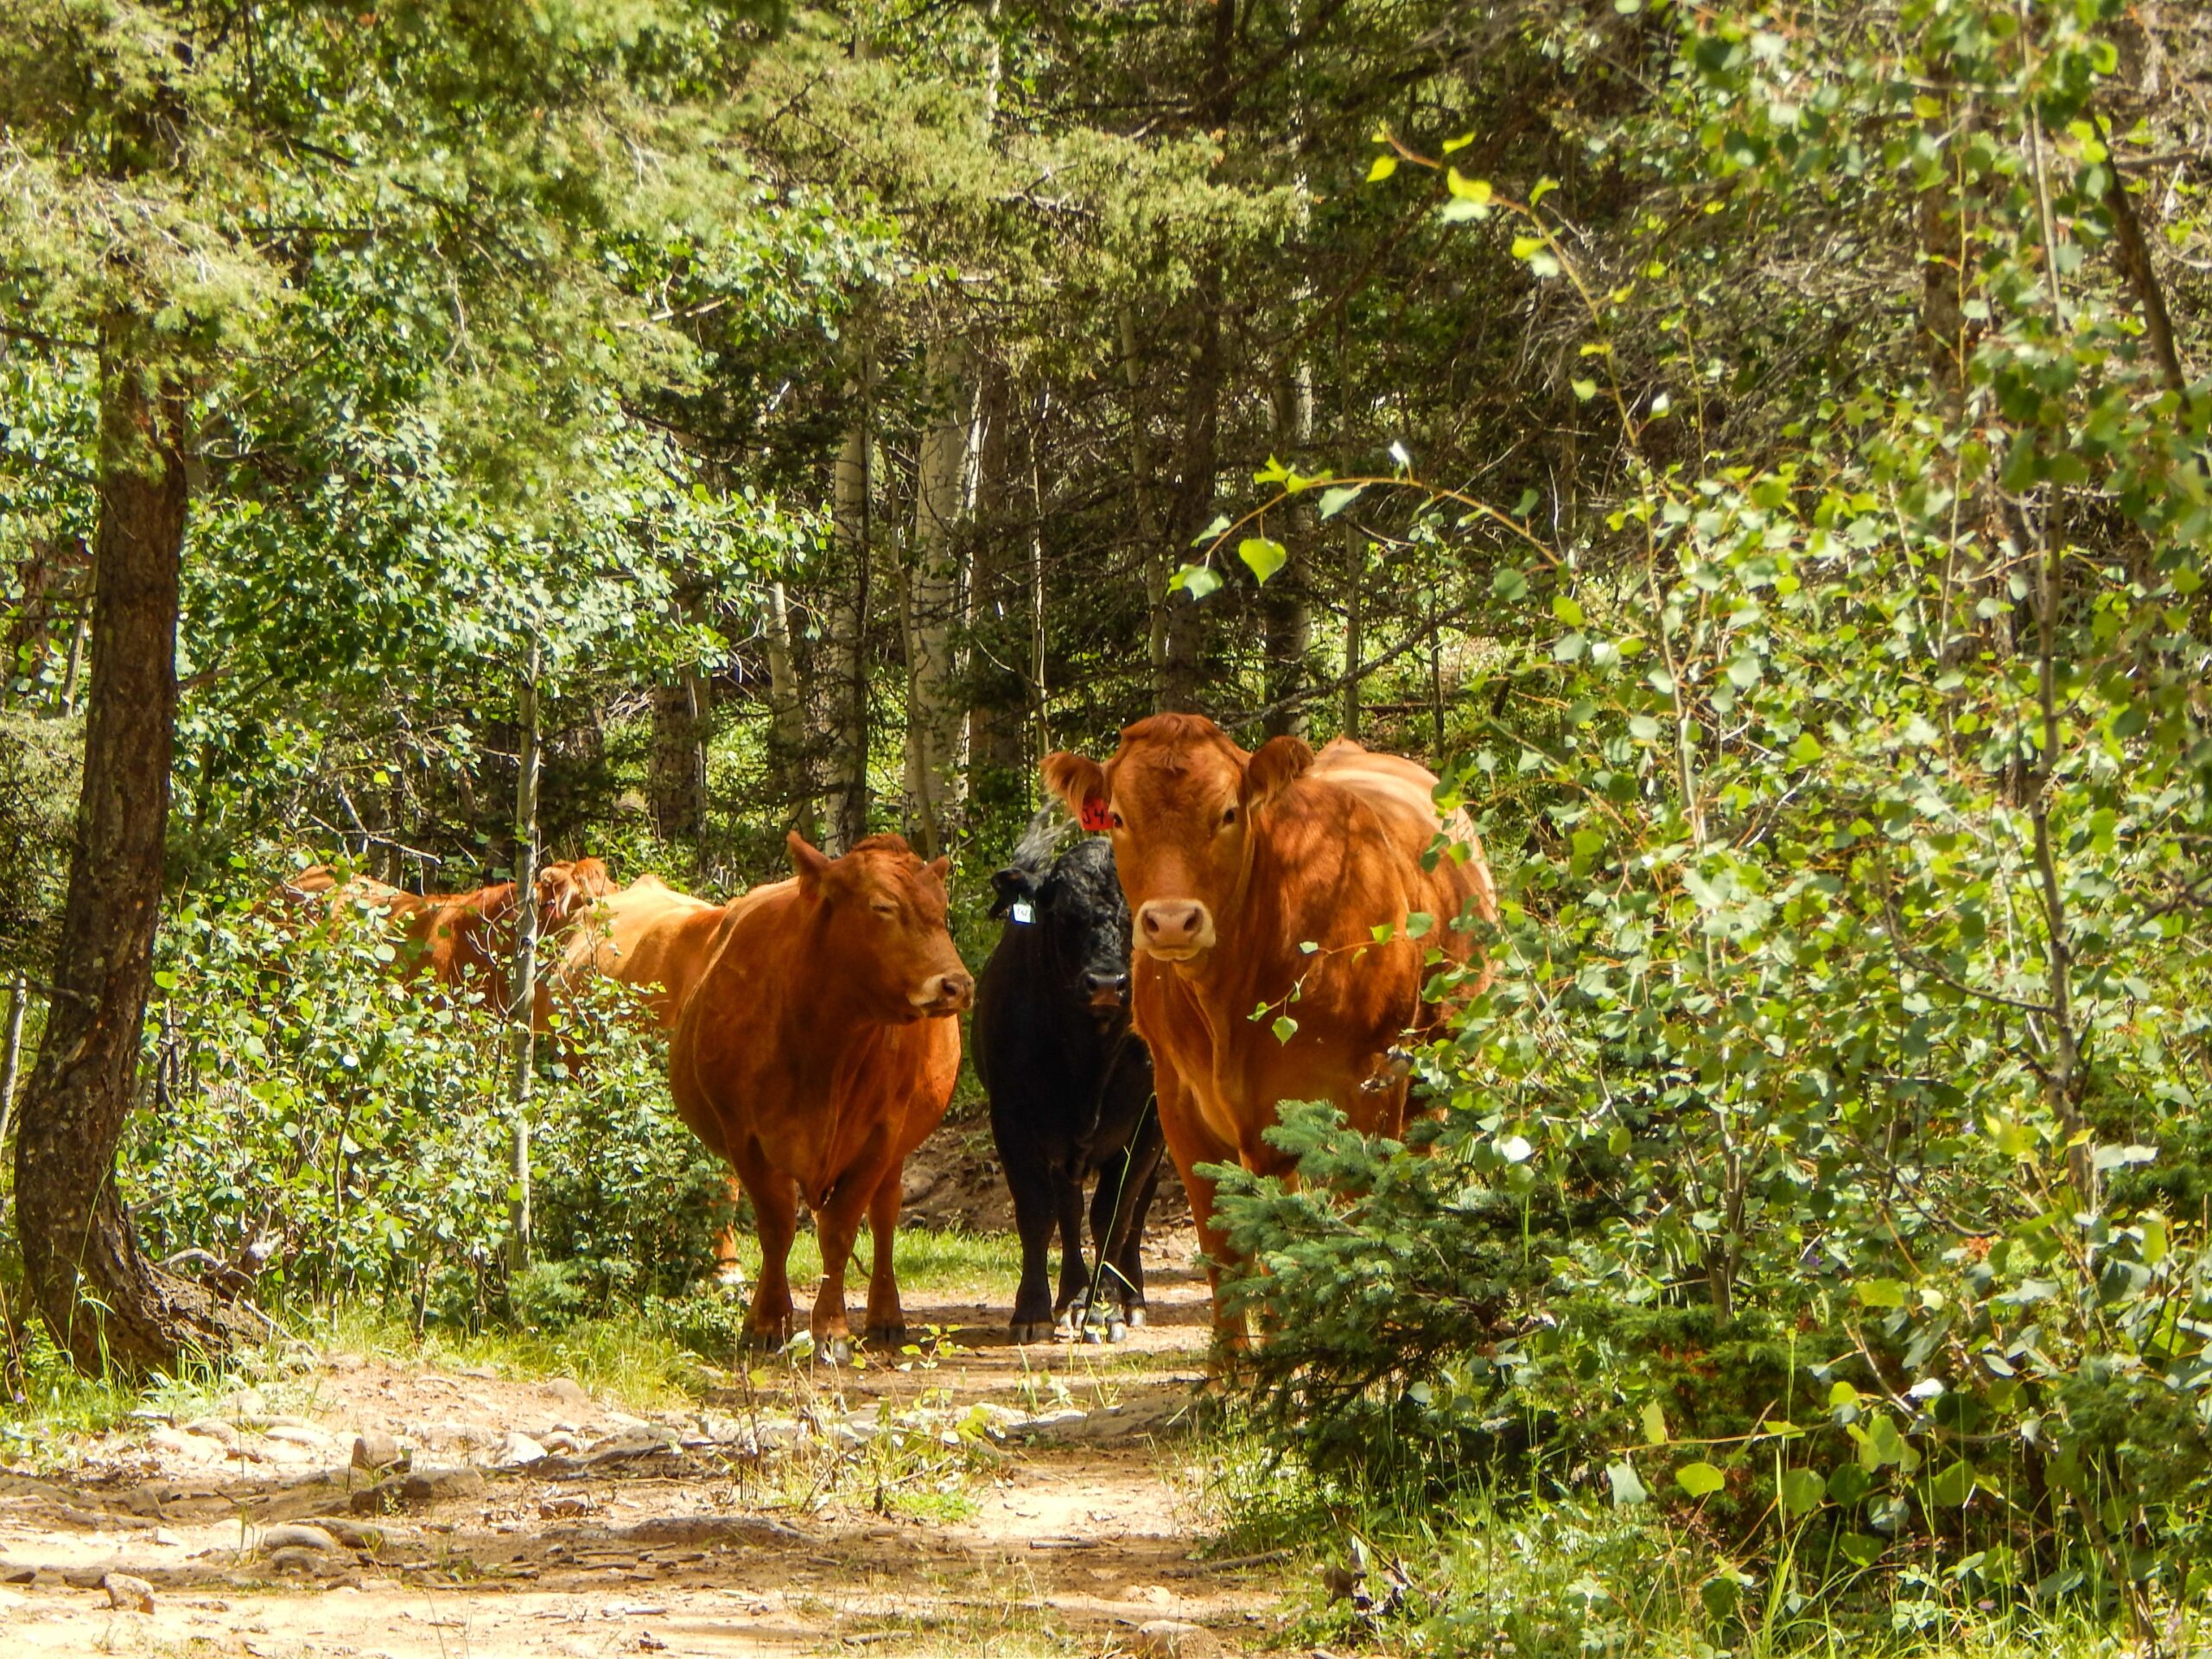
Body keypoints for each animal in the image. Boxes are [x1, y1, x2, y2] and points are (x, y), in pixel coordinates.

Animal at [668, 833, 972, 1359]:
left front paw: (831, 1330)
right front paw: (766, 1322)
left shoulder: (879, 1138)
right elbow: (776, 1228)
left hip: (898, 1150)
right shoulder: (745, 1136)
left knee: (885, 1215)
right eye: (882, 906)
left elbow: (839, 1229)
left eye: (941, 907)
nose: (957, 984)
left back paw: (886, 1317)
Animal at [974, 810, 1162, 1343]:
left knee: (1133, 1216)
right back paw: (1070, 1299)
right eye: (1060, 914)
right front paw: (1034, 1310)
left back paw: (1130, 1300)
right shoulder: (1014, 1120)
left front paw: (1105, 1310)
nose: (1106, 983)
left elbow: (1114, 1216)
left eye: (1140, 913)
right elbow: (1039, 1214)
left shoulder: (1146, 1126)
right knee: (1069, 1209)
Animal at [1043, 715, 1498, 1333]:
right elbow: (1227, 1254)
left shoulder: (1373, 1083)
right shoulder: (1179, 1101)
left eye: (1229, 813)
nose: (1171, 921)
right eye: (1117, 816)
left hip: (1435, 1078)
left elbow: (1360, 1228)